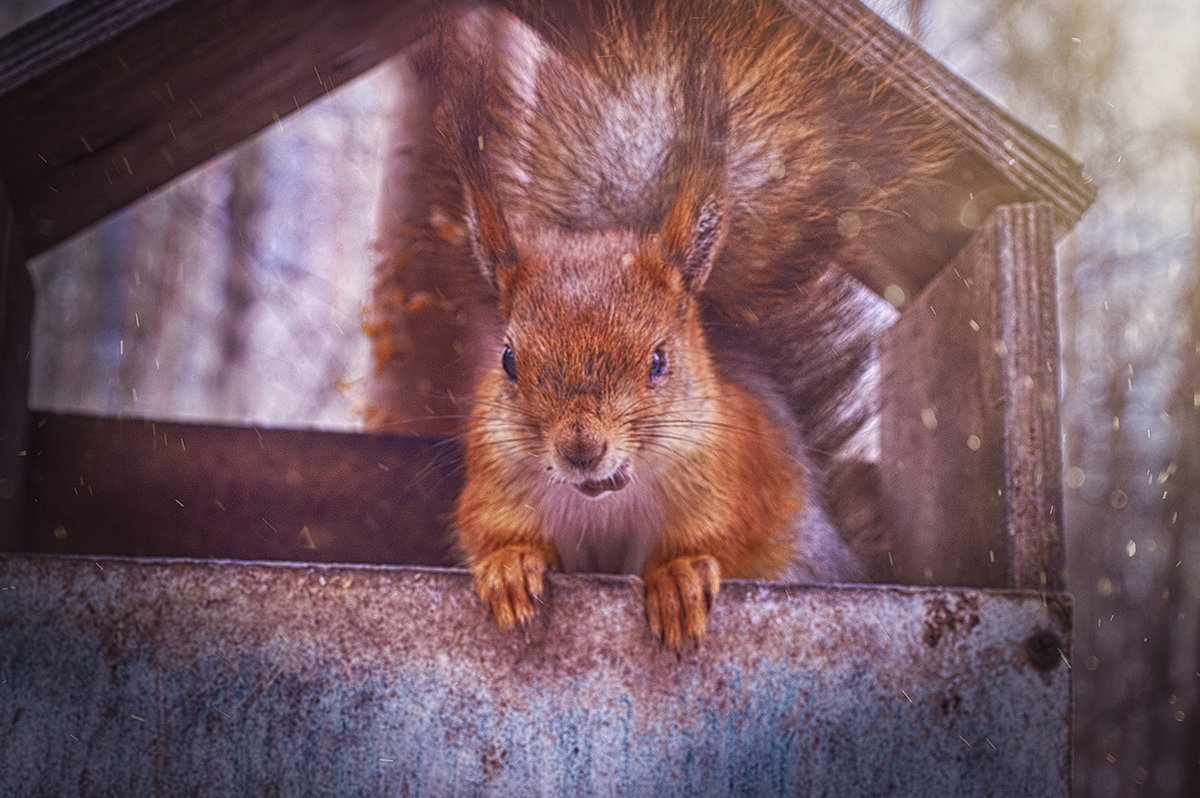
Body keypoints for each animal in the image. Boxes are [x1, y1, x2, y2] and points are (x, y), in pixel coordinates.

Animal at [429, 0, 945, 648]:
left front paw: (676, 579)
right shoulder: (495, 478)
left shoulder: (738, 477)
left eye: (659, 361)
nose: (580, 450)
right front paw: (509, 566)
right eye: (508, 361)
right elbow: (490, 531)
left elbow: (720, 539)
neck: (606, 494)